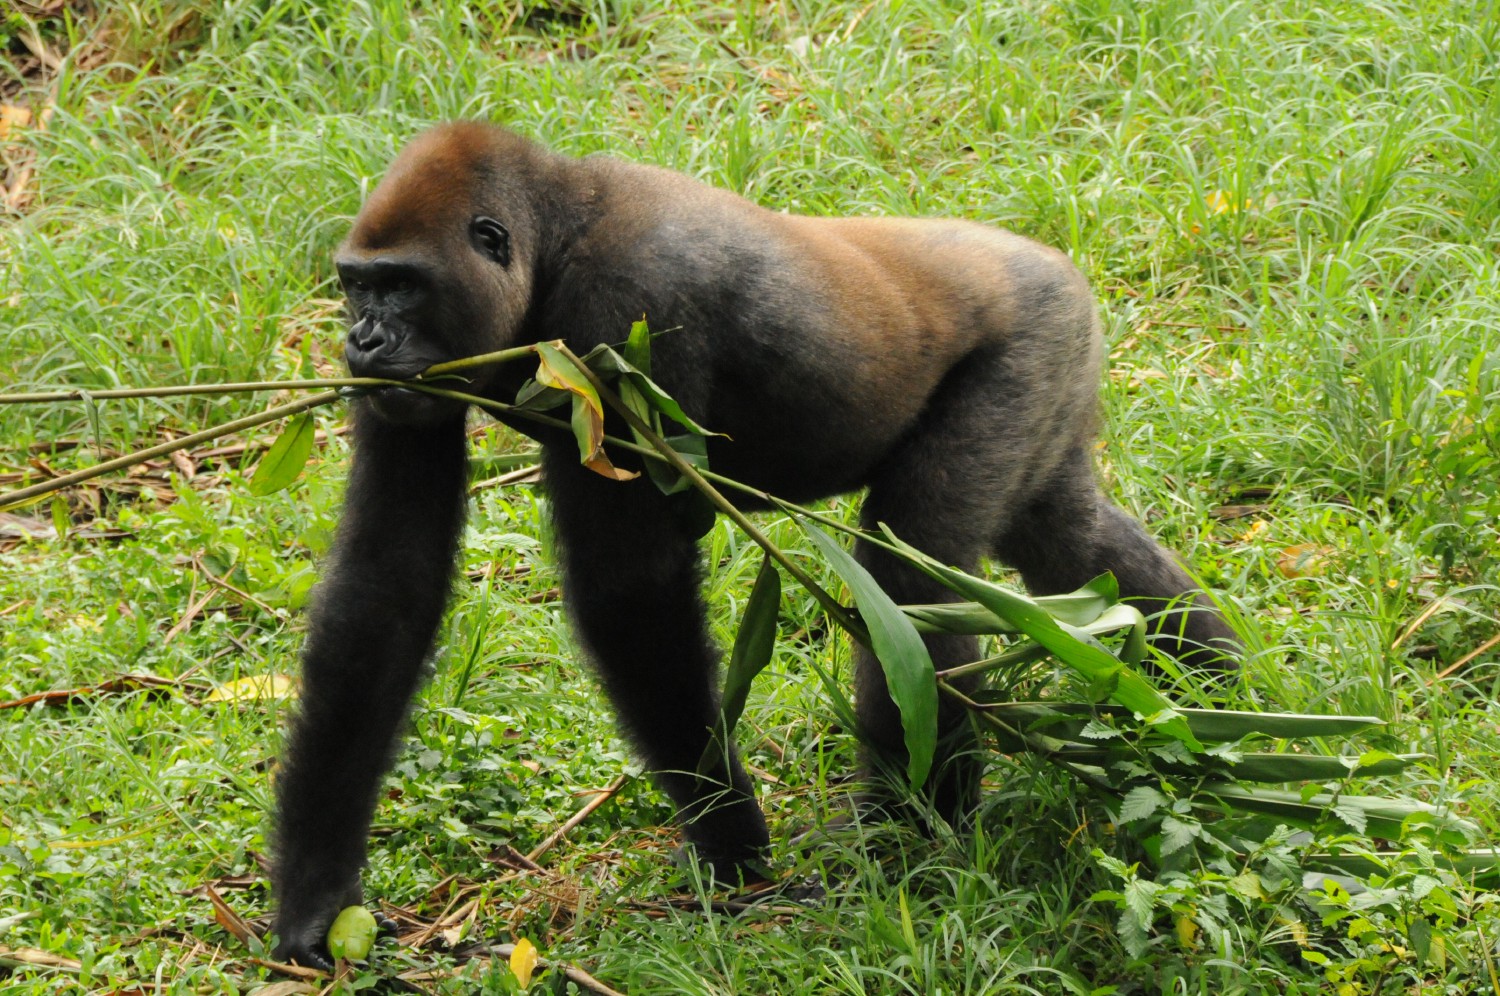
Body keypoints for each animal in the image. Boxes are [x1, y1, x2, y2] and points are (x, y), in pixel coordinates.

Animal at [269, 122, 1238, 968]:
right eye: (357, 286)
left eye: (401, 287)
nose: (361, 336)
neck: (558, 228)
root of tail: (1053, 263)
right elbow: (384, 589)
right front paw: (316, 897)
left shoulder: (623, 307)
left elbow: (632, 595)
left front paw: (733, 845)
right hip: (1058, 368)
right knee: (1070, 538)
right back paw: (1214, 697)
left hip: (1029, 343)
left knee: (914, 579)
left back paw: (917, 838)